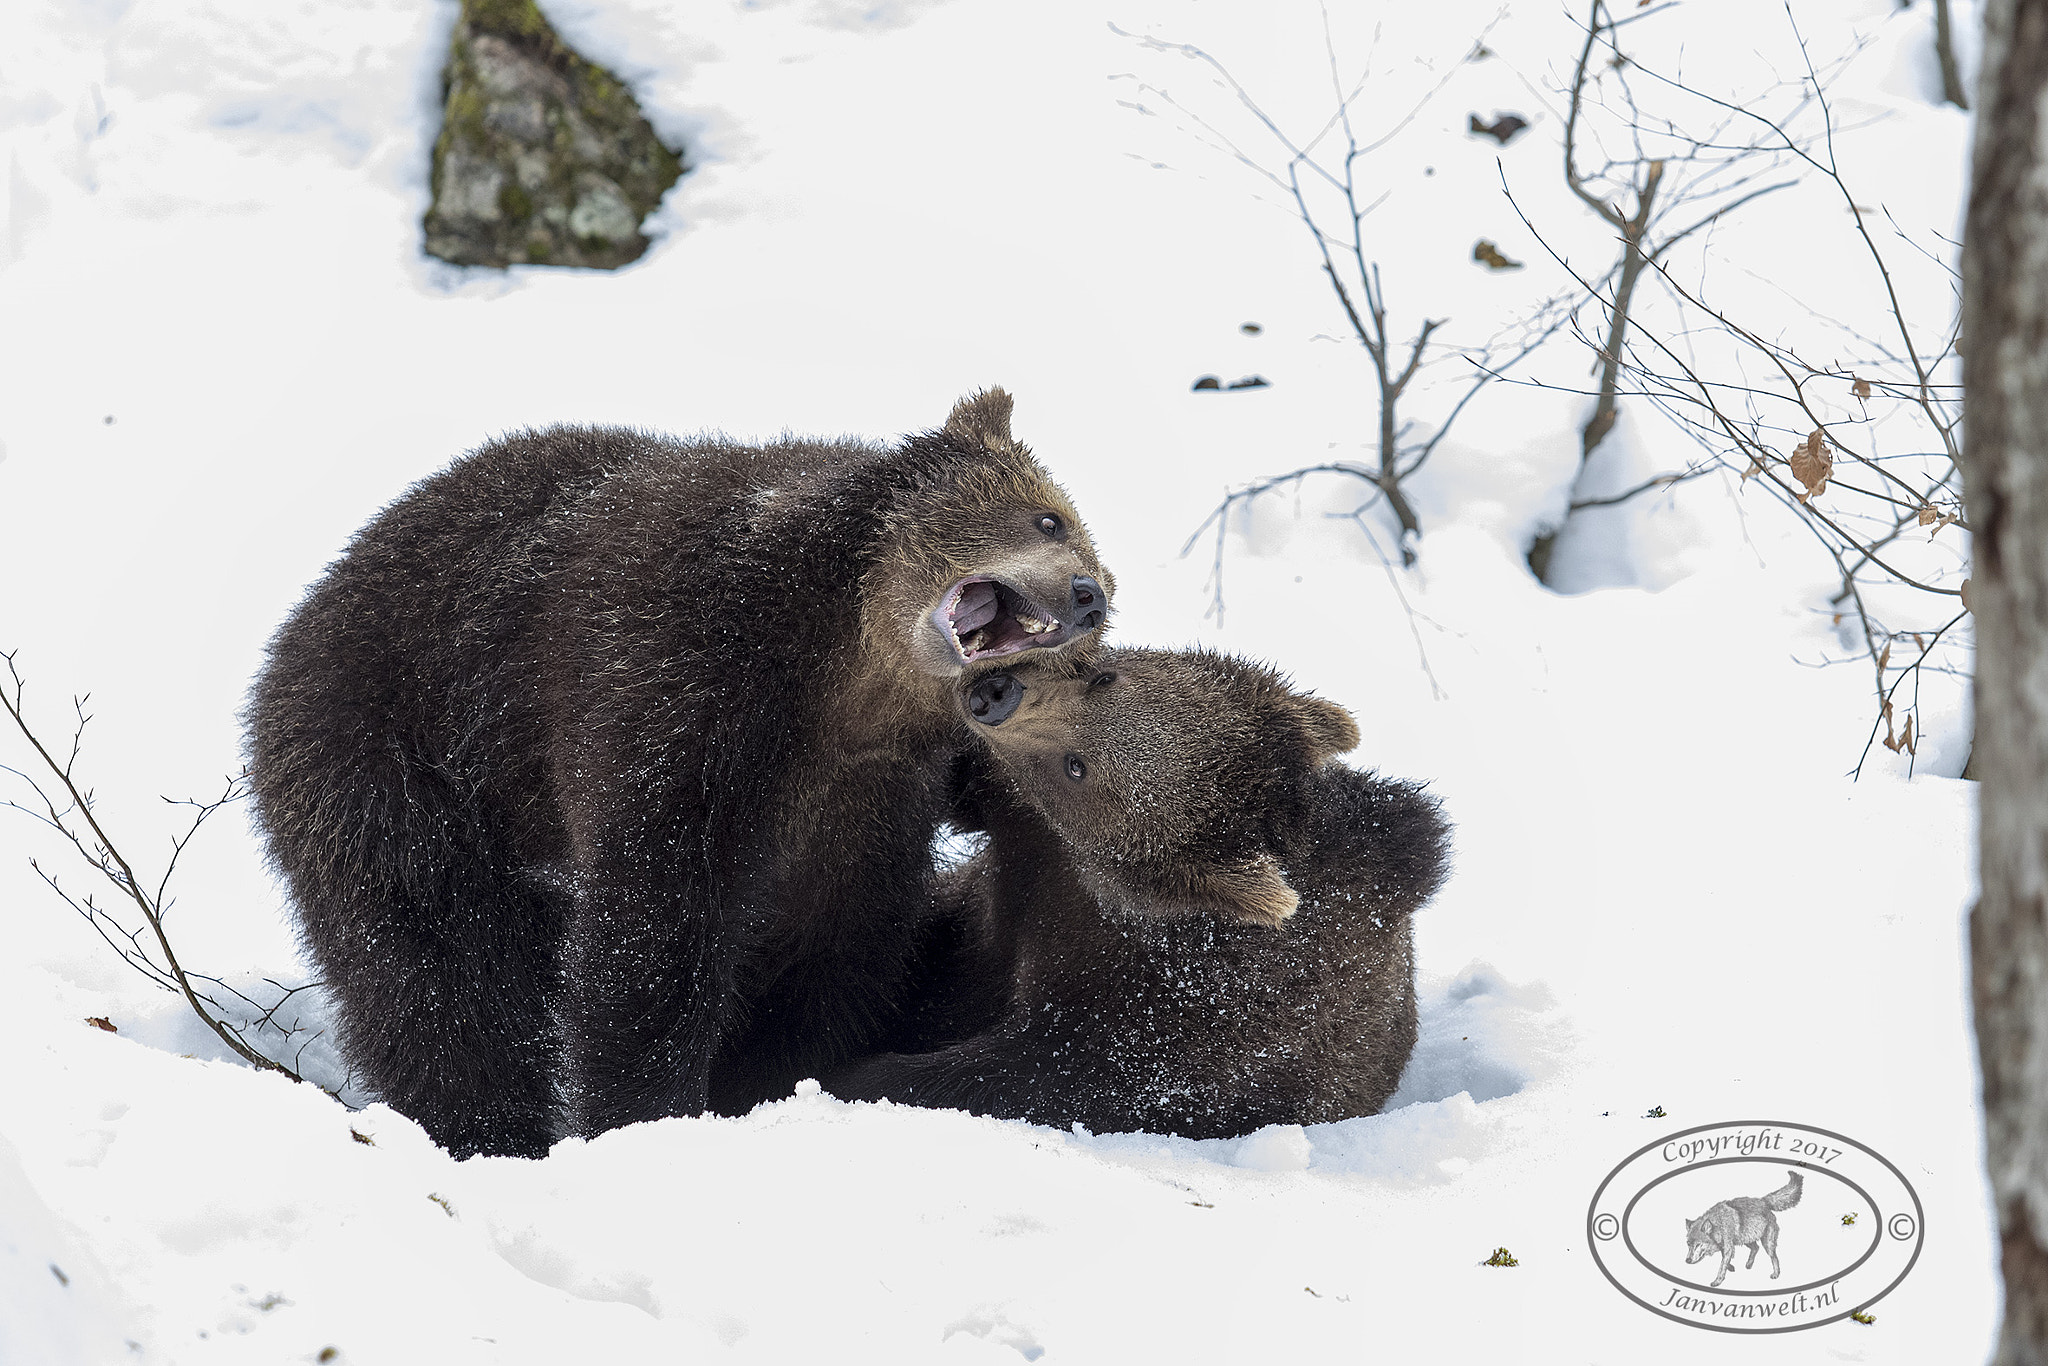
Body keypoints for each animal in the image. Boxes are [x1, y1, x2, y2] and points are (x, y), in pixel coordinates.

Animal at [244, 389, 1112, 1157]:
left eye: (1095, 558)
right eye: (1050, 517)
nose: (1088, 595)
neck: (847, 674)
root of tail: (311, 607)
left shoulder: (864, 796)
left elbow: (824, 944)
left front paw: (752, 1085)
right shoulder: (673, 684)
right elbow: (657, 926)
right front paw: (643, 1112)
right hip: (396, 749)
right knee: (436, 957)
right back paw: (486, 1129)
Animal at [828, 647, 1451, 1138]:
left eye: (1077, 768)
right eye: (1105, 679)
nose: (994, 694)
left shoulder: (1165, 1026)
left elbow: (1026, 1074)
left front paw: (863, 1074)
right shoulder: (1023, 836)